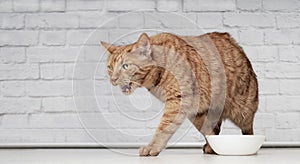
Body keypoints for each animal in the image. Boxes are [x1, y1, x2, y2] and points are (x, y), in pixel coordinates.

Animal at [100, 31, 258, 156]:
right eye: (110, 67)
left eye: (125, 66)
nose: (113, 79)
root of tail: (232, 41)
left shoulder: (176, 101)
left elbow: (163, 128)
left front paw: (152, 147)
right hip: (198, 115)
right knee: (213, 130)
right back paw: (211, 147)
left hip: (243, 111)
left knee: (248, 131)